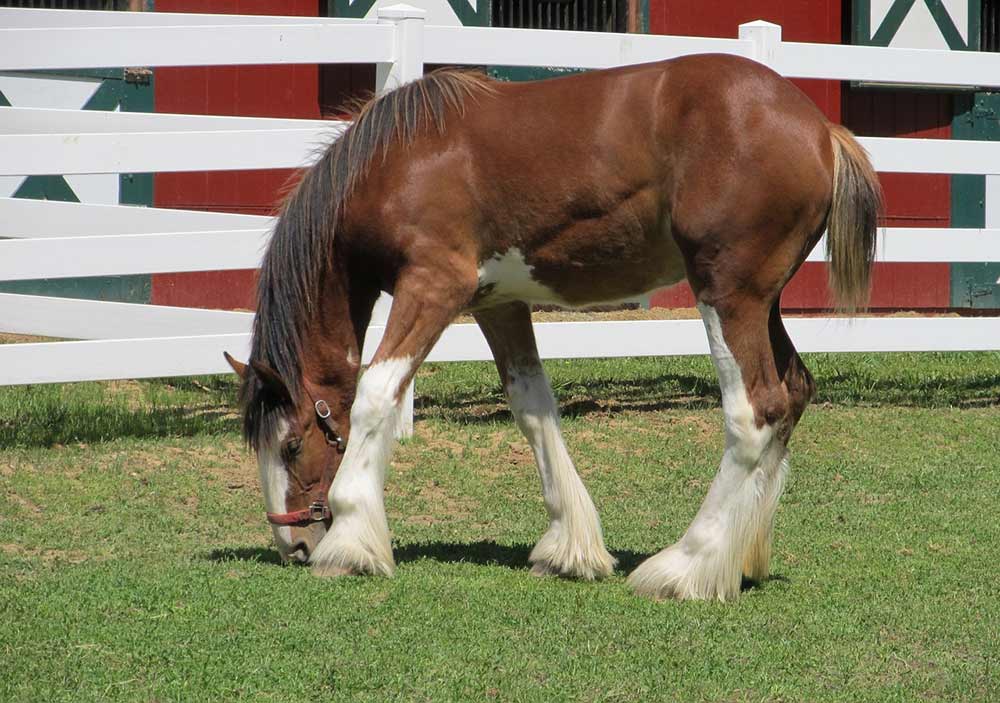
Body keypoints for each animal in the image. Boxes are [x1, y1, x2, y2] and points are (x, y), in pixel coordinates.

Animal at [227, 56, 884, 604]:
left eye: (290, 445)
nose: (294, 546)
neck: (401, 161)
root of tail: (820, 128)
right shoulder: (498, 303)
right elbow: (533, 409)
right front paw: (571, 548)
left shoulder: (433, 286)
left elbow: (374, 395)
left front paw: (350, 544)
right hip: (762, 303)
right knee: (793, 394)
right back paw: (738, 561)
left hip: (728, 294)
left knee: (755, 411)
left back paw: (686, 568)